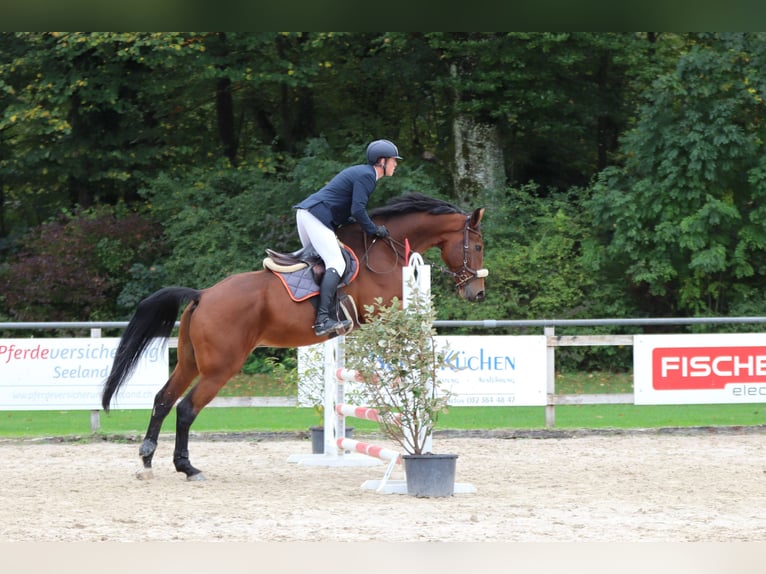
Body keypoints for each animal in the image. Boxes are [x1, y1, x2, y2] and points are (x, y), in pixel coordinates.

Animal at [102, 194, 488, 482]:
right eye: (479, 245)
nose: (477, 293)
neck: (381, 252)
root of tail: (202, 295)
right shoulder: (380, 312)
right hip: (221, 367)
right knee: (185, 408)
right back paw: (188, 468)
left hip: (190, 361)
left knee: (163, 400)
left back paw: (147, 459)